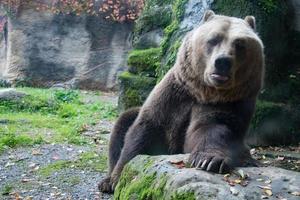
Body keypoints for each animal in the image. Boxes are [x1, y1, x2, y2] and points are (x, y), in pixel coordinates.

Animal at [99, 10, 264, 193]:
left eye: (240, 44)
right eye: (213, 39)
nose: (222, 62)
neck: (202, 92)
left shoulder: (227, 102)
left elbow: (211, 128)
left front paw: (209, 160)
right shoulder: (174, 95)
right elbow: (144, 131)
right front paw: (117, 178)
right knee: (124, 121)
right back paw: (106, 181)